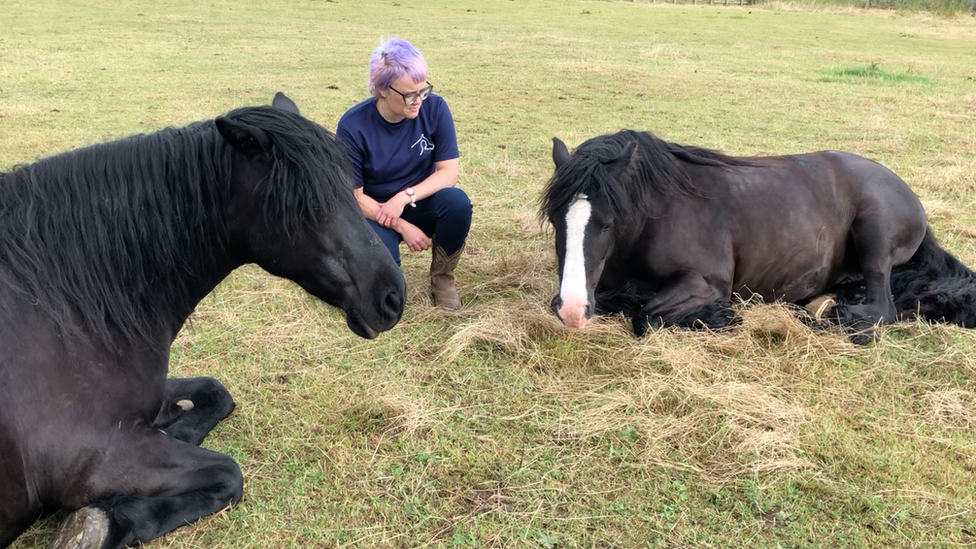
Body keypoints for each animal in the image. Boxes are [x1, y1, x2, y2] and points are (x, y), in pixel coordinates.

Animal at [0, 94, 404, 548]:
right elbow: (228, 473)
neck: (62, 304)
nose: (393, 297)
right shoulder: (92, 460)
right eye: (308, 205)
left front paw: (175, 428)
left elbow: (215, 393)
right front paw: (101, 522)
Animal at [540, 131, 976, 340]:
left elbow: (645, 316)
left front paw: (720, 317)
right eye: (555, 220)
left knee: (883, 308)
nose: (573, 310)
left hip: (874, 236)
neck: (656, 215)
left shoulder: (705, 282)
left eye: (607, 223)